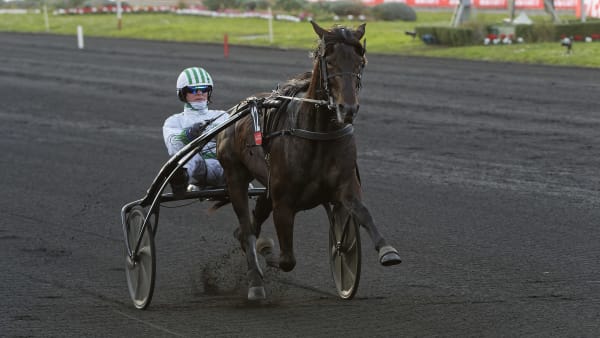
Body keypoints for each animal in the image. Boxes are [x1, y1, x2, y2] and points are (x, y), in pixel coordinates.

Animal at [216, 21, 398, 300]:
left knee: (249, 227)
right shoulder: (283, 203)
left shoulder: (346, 186)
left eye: (360, 62)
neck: (317, 133)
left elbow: (363, 213)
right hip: (235, 176)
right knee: (246, 230)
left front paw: (386, 251)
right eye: (329, 62)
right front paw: (268, 256)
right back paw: (256, 281)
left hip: (266, 187)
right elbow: (287, 259)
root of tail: (236, 111)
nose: (348, 109)